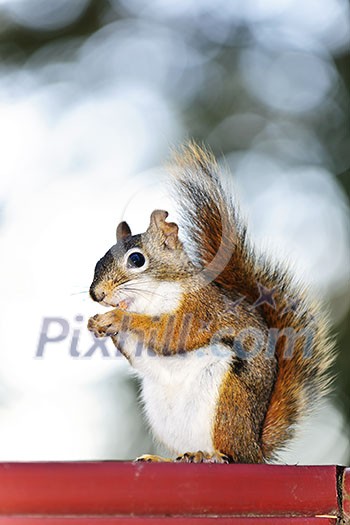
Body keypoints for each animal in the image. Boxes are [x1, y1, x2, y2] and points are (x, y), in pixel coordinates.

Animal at [87, 141, 334, 460]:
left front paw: (118, 319)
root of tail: (255, 447)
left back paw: (214, 455)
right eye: (100, 258)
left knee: (232, 454)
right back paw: (168, 458)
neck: (154, 297)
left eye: (137, 259)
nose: (97, 294)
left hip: (227, 402)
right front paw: (96, 323)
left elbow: (171, 334)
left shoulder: (200, 310)